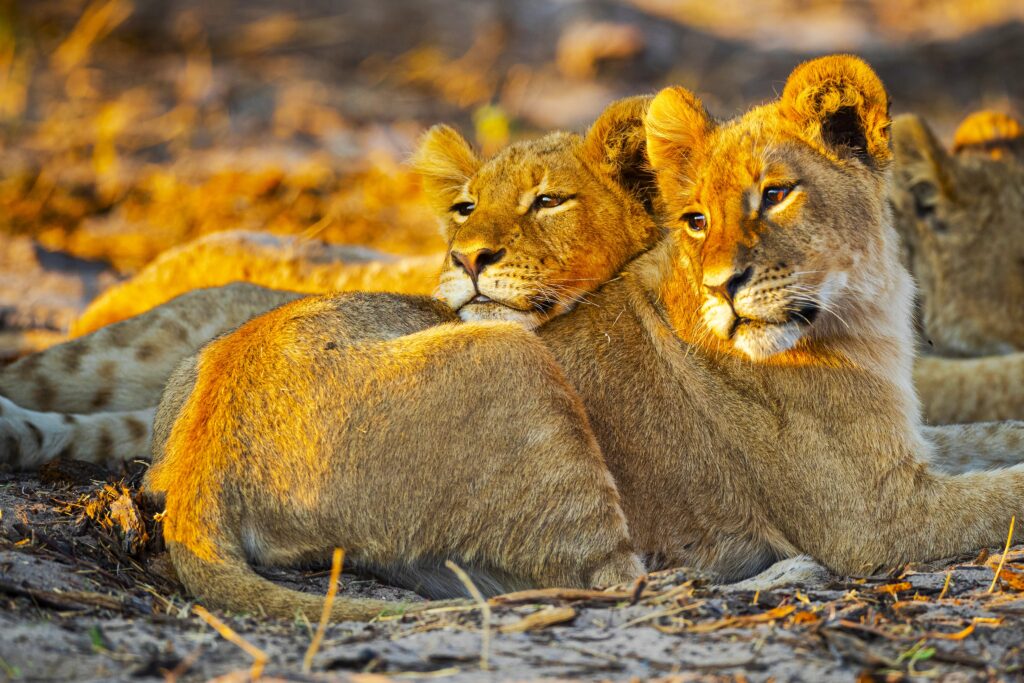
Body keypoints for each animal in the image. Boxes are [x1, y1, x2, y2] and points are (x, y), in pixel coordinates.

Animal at [137, 56, 1024, 620]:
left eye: (776, 194)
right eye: (694, 218)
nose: (722, 288)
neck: (864, 309)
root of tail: (201, 467)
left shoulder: (910, 448)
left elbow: (994, 435)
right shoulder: (876, 518)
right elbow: (1006, 489)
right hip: (515, 359)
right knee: (613, 580)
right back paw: (773, 573)